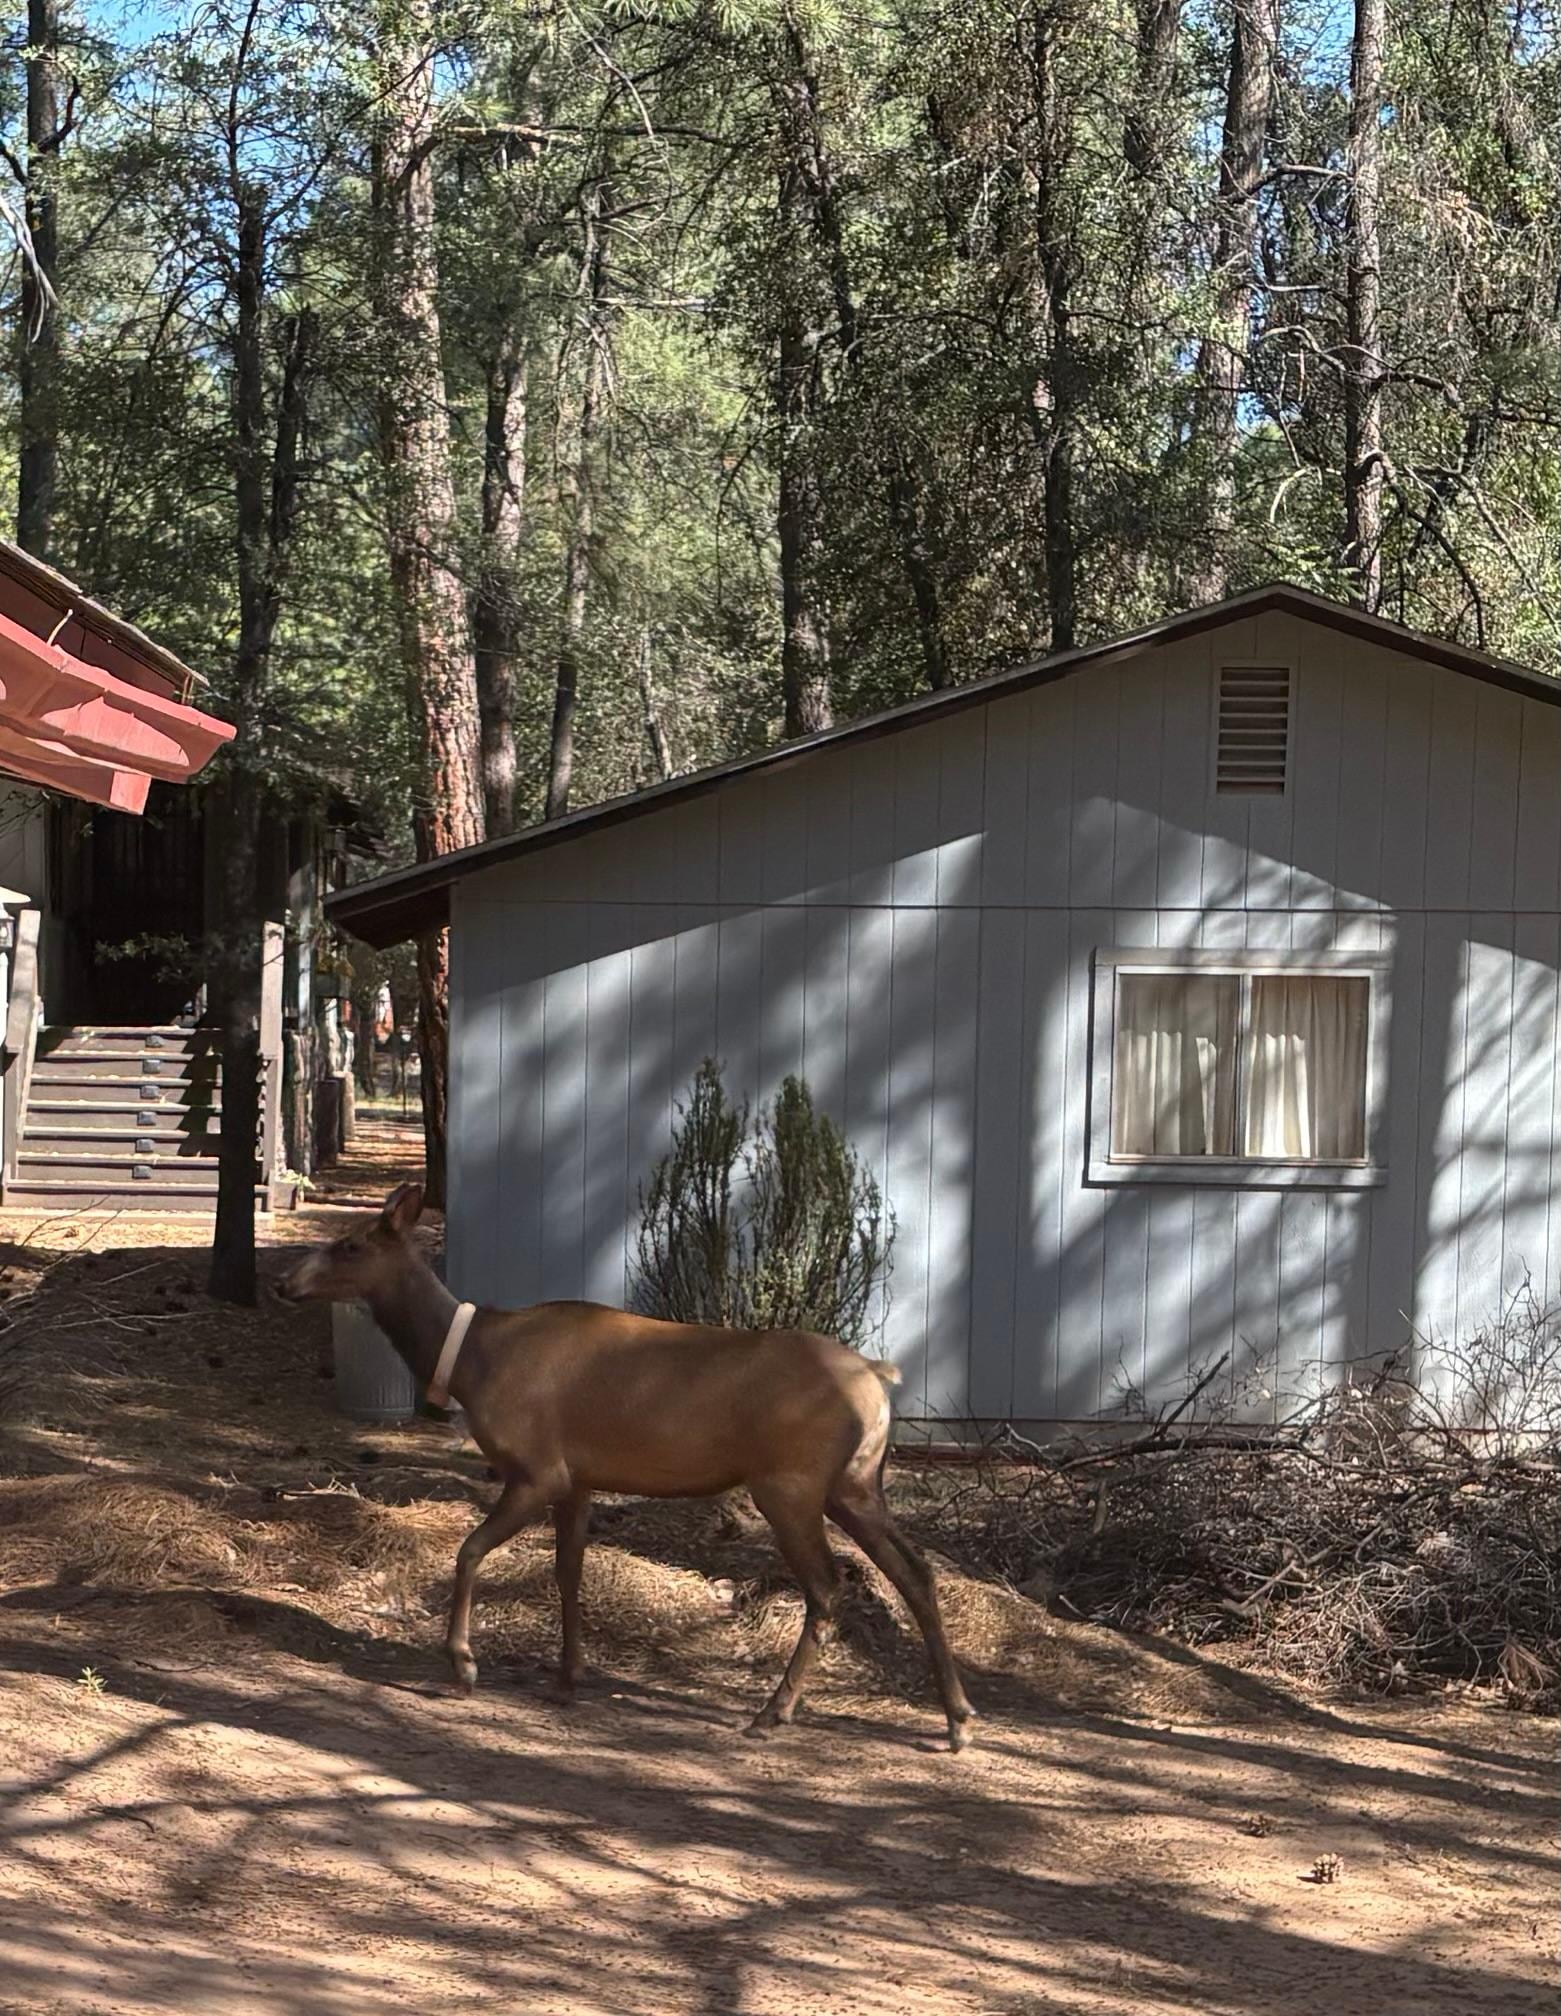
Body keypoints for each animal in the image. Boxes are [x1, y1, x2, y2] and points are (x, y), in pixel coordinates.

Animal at [277, 1184, 975, 1752]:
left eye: (348, 1244)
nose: (285, 1283)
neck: (471, 1364)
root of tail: (881, 1381)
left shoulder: (536, 1469)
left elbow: (470, 1550)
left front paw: (464, 1664)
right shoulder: (579, 1480)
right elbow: (568, 1573)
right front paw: (567, 1676)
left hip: (790, 1484)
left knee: (828, 1588)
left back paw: (773, 1713)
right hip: (855, 1483)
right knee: (916, 1573)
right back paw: (958, 1718)